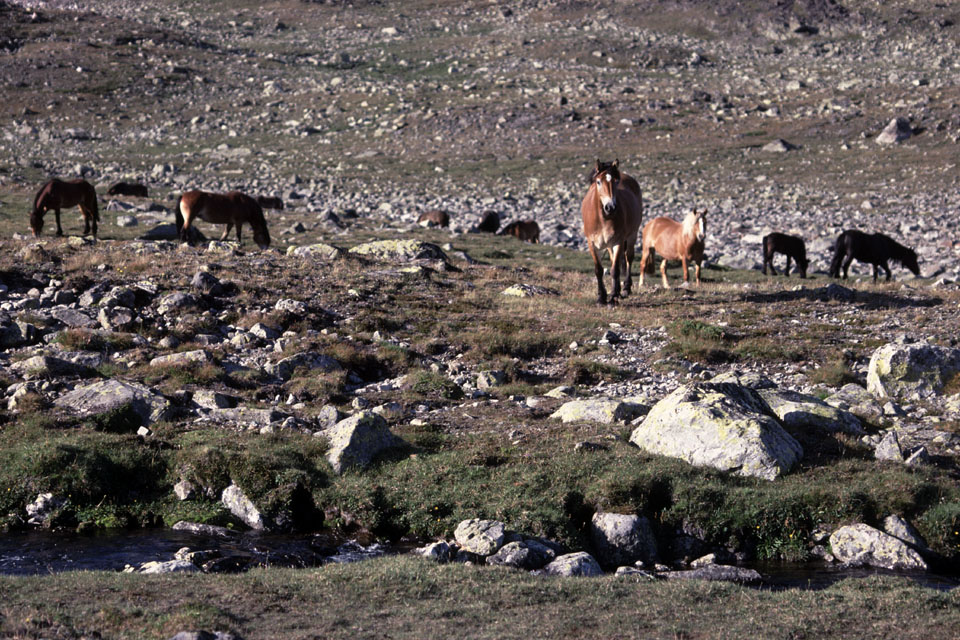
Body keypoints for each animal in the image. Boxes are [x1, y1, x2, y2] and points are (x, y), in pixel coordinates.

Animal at [580, 157, 640, 302]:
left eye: (616, 181)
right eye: (598, 182)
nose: (610, 207)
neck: (603, 219)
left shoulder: (618, 241)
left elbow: (615, 270)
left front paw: (612, 296)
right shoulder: (592, 243)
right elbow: (599, 269)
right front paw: (601, 296)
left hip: (632, 235)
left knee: (628, 258)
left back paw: (625, 289)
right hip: (609, 244)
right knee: (614, 260)